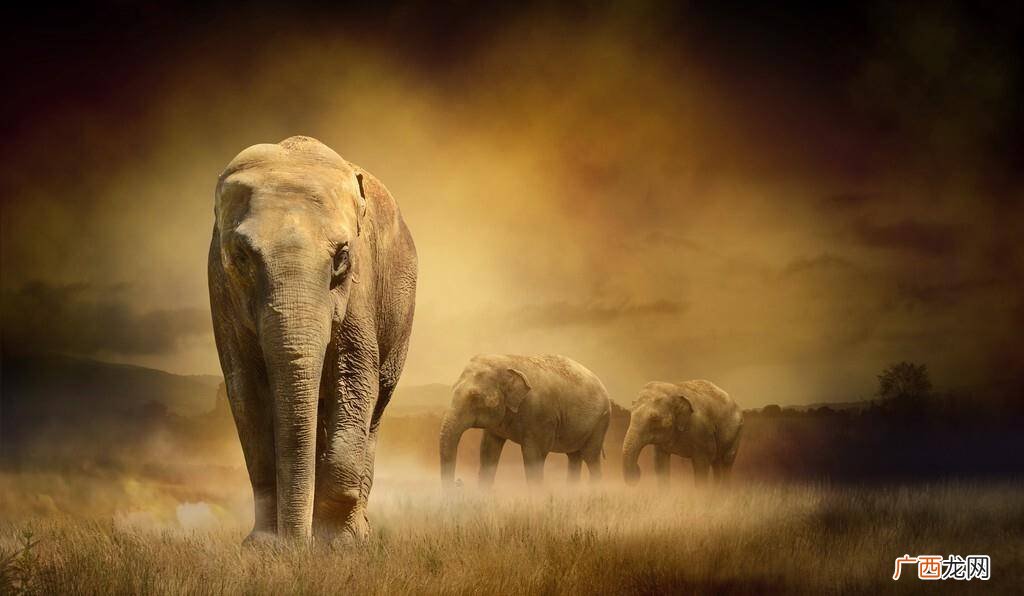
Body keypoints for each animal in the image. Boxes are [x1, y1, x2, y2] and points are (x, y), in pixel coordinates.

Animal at [208, 136, 417, 543]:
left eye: (342, 256)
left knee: (377, 406)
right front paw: (262, 546)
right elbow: (245, 390)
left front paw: (335, 543)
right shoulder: (219, 287)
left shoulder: (360, 286)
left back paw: (356, 532)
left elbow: (356, 378)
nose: (294, 543)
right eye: (241, 256)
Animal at [439, 354, 611, 488]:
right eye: (453, 389)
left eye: (475, 397)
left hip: (600, 421)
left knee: (590, 457)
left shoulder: (540, 415)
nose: (458, 482)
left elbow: (533, 455)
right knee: (574, 456)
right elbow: (488, 450)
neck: (507, 361)